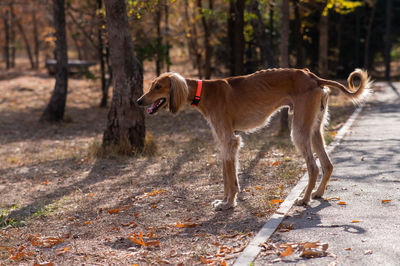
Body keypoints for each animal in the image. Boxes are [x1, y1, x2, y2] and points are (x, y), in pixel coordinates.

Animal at [138, 68, 372, 210]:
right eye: (152, 85)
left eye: (157, 86)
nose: (139, 101)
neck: (204, 92)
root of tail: (312, 76)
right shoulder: (224, 142)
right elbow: (227, 175)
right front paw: (225, 200)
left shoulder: (230, 140)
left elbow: (230, 177)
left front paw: (228, 203)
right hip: (314, 129)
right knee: (327, 164)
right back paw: (318, 193)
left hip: (299, 130)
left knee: (313, 167)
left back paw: (304, 199)